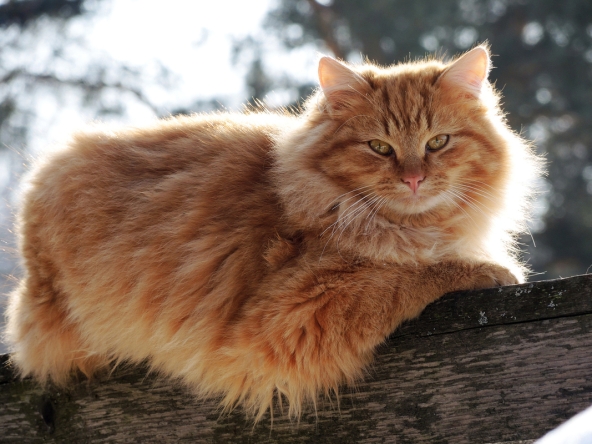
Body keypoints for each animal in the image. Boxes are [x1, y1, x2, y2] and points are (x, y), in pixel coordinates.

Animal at [4, 44, 540, 420]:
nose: (413, 179)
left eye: (438, 142)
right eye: (379, 148)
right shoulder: (292, 314)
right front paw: (488, 268)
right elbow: (410, 275)